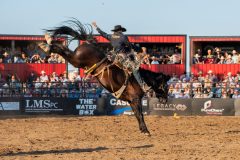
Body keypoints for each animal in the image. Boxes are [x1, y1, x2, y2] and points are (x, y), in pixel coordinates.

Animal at [38, 19, 170, 136]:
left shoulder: (132, 101)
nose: (165, 100)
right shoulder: (136, 99)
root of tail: (89, 44)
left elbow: (137, 115)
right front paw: (146, 131)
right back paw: (46, 45)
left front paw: (143, 130)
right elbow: (140, 115)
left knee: (63, 50)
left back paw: (46, 42)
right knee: (62, 50)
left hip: (76, 60)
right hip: (76, 60)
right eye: (166, 86)